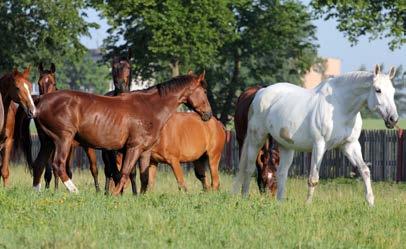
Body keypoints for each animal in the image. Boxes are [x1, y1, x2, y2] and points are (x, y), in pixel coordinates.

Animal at [27, 72, 213, 195]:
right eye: (204, 91)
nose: (208, 114)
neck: (149, 107)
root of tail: (40, 100)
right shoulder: (133, 148)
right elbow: (123, 173)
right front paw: (115, 195)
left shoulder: (145, 151)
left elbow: (144, 177)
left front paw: (141, 197)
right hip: (63, 140)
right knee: (58, 165)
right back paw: (75, 191)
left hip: (47, 142)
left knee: (39, 165)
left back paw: (36, 193)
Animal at [233, 64, 398, 206]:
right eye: (378, 90)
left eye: (393, 91)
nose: (393, 119)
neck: (340, 106)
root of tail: (260, 93)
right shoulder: (319, 145)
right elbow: (313, 178)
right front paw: (308, 204)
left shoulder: (350, 145)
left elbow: (365, 170)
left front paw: (370, 202)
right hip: (256, 138)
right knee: (249, 168)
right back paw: (244, 197)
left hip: (285, 146)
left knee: (281, 173)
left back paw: (280, 202)